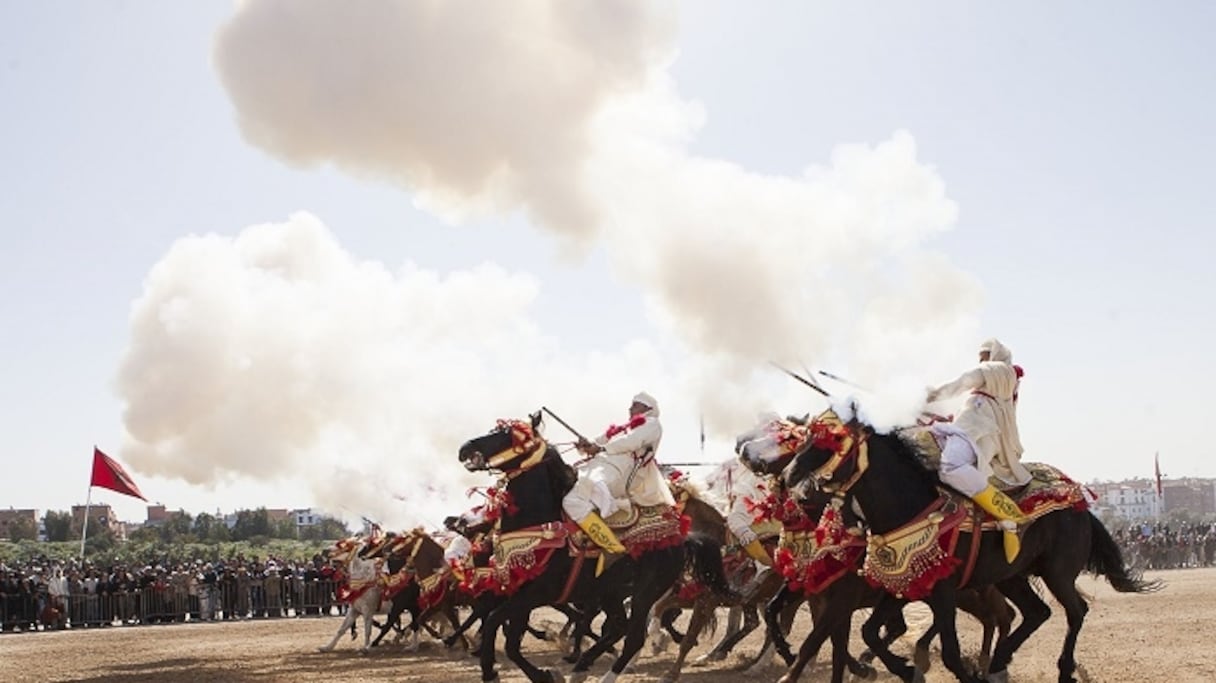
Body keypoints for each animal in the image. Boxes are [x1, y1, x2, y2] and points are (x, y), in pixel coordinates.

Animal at [457, 415, 729, 680]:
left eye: (506, 434)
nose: (465, 448)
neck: (540, 522)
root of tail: (683, 536)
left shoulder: (535, 594)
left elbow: (493, 622)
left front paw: (491, 671)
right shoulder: (519, 592)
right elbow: (510, 643)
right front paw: (543, 674)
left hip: (644, 593)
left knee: (633, 637)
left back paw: (604, 672)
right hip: (611, 593)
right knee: (619, 627)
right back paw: (581, 666)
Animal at [778, 408, 1157, 680]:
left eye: (830, 440)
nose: (790, 477)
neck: (912, 506)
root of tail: (1081, 503)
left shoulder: (942, 590)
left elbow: (947, 652)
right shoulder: (905, 585)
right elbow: (870, 632)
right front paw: (903, 667)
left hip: (1057, 573)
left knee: (1075, 612)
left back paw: (1060, 670)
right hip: (1012, 576)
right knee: (1037, 612)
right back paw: (999, 661)